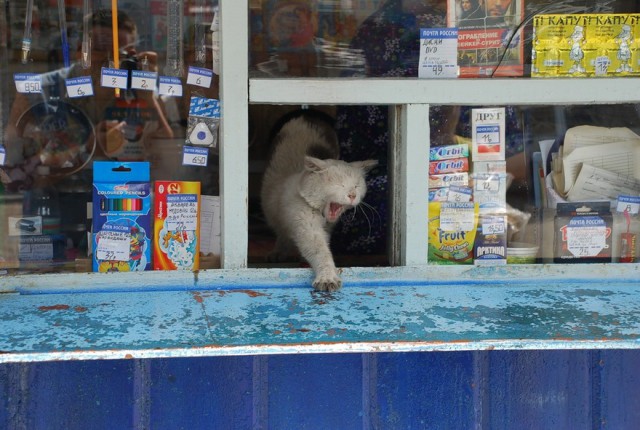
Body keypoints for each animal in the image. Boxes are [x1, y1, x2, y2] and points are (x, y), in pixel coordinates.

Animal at [262, 111, 378, 292]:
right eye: (339, 184)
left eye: (356, 186)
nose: (352, 194)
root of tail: (306, 114)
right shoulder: (306, 226)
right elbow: (320, 252)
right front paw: (327, 277)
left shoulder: (327, 228)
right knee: (281, 232)